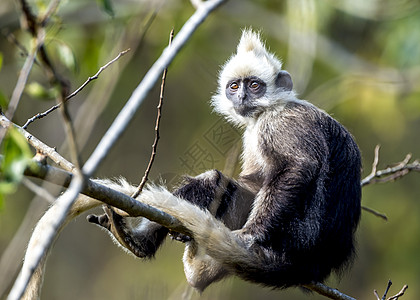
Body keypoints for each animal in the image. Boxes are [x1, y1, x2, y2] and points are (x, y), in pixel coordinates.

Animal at [88, 29, 360, 292]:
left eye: (254, 85)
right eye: (234, 86)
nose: (241, 97)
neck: (270, 108)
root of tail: (308, 266)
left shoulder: (281, 123)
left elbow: (298, 168)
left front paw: (252, 234)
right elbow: (252, 182)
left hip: (294, 236)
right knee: (214, 181)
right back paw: (138, 242)